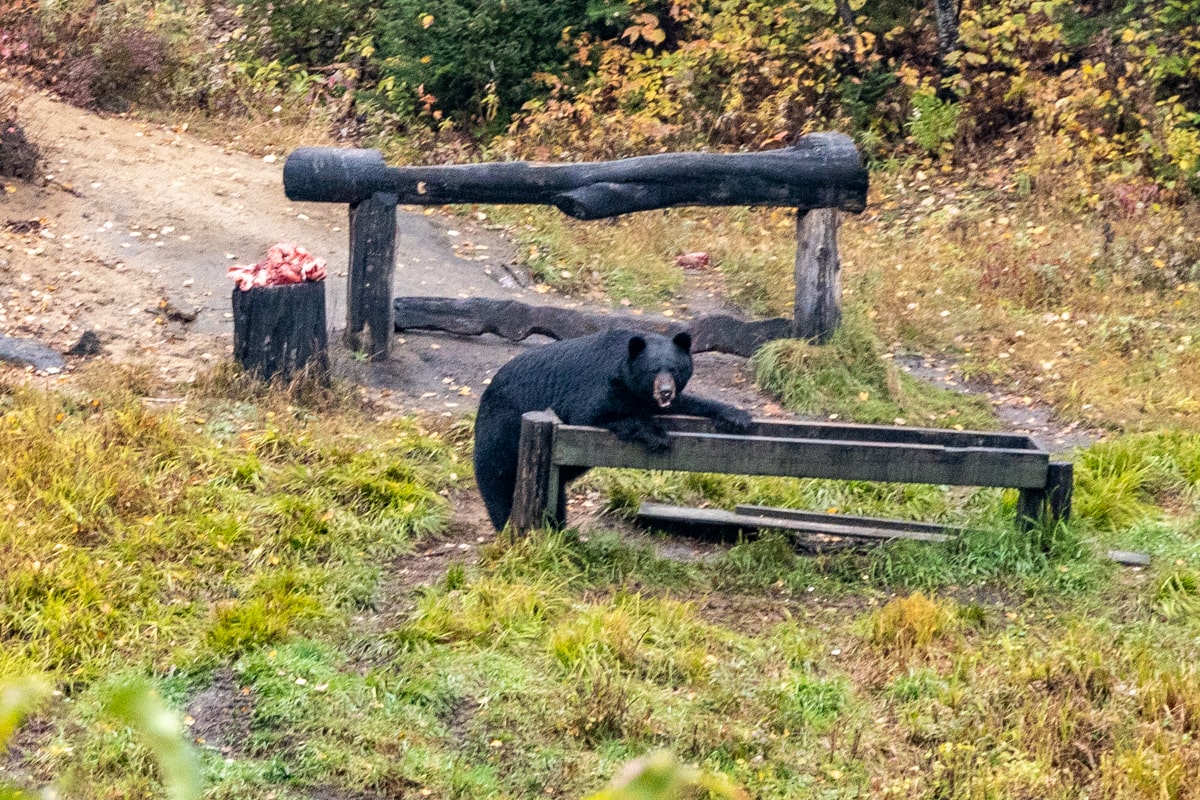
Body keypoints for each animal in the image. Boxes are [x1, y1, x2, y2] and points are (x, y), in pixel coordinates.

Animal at [475, 331, 748, 532]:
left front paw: (736, 415)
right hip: (502, 433)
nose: (665, 391)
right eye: (653, 370)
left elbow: (687, 403)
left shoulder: (648, 398)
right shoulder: (596, 387)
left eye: (674, 369)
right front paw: (657, 435)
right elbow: (595, 414)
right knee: (498, 487)